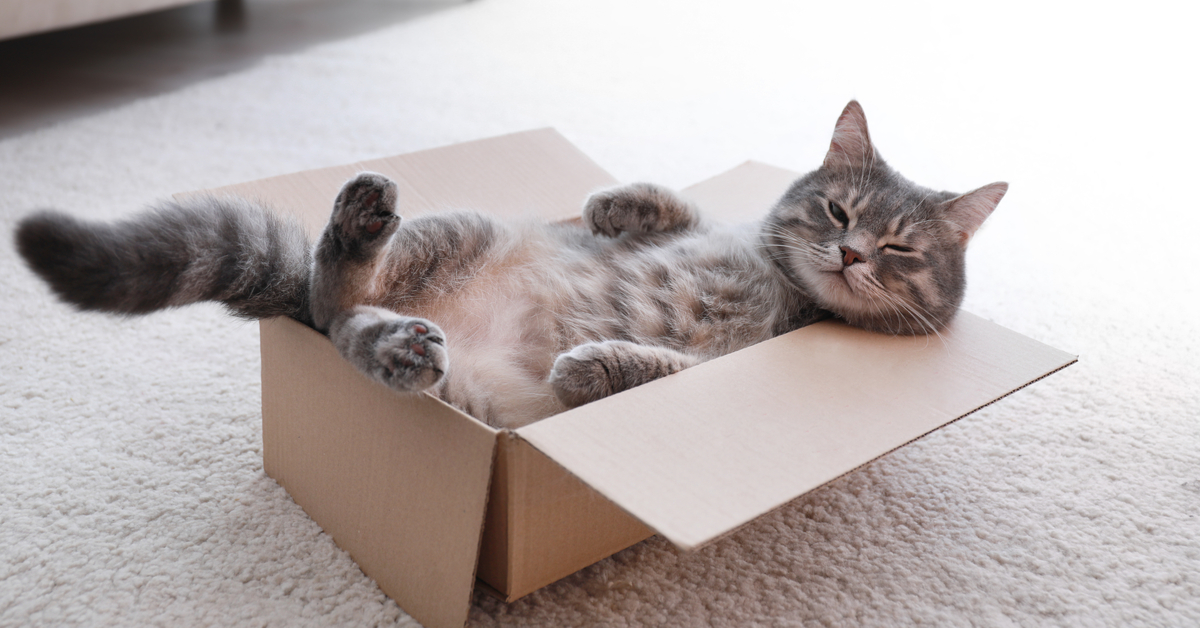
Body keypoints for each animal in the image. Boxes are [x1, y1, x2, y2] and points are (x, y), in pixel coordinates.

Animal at [14, 102, 1008, 427]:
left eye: (900, 248)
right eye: (839, 211)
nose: (850, 252)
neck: (785, 284)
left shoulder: (721, 363)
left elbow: (650, 367)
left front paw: (592, 363)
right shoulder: (724, 229)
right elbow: (680, 209)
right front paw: (617, 202)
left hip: (468, 393)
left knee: (339, 326)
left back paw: (400, 346)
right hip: (460, 228)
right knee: (332, 300)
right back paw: (360, 243)